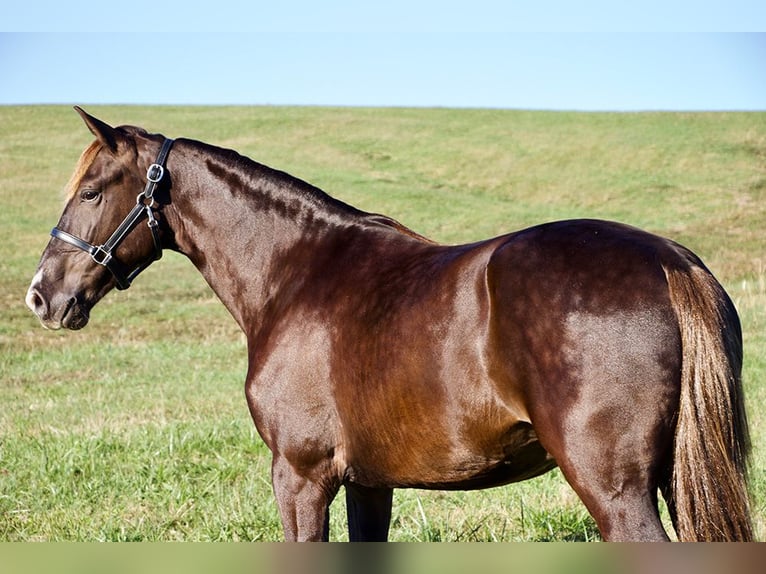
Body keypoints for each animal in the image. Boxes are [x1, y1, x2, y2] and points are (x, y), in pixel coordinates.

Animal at [26, 107, 752, 541]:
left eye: (91, 191)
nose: (41, 296)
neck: (297, 271)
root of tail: (669, 261)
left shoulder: (300, 475)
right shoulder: (368, 484)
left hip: (615, 490)